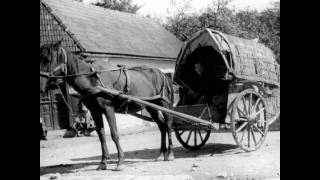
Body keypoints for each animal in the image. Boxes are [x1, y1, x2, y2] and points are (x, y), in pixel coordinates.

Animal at [40, 40, 175, 171]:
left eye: (48, 59)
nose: (41, 87)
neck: (91, 79)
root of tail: (161, 73)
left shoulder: (108, 109)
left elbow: (114, 134)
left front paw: (120, 161)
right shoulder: (95, 111)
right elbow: (101, 135)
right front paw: (103, 162)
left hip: (163, 104)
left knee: (168, 125)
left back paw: (170, 154)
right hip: (151, 107)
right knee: (162, 127)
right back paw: (161, 154)